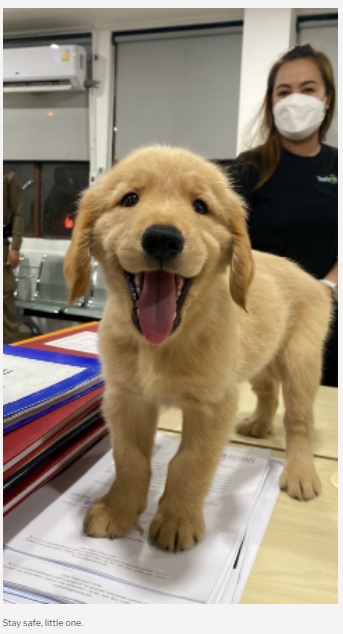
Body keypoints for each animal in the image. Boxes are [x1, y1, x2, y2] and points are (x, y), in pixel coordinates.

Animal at [64, 146, 334, 552]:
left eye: (200, 206)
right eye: (129, 199)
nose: (162, 238)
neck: (162, 343)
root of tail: (312, 279)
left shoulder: (213, 406)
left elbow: (189, 463)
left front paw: (177, 521)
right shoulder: (125, 399)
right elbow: (129, 458)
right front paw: (118, 510)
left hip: (299, 361)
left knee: (299, 420)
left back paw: (301, 472)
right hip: (259, 359)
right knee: (267, 391)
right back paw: (258, 424)